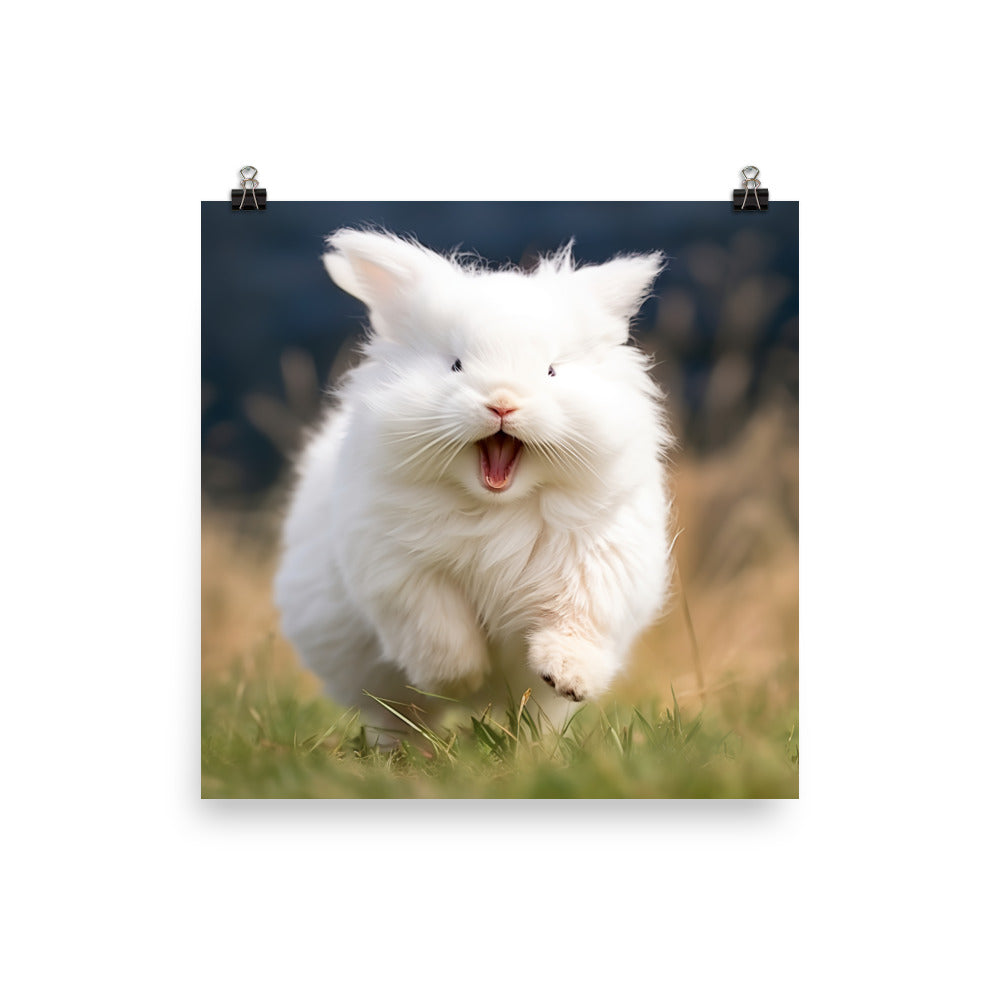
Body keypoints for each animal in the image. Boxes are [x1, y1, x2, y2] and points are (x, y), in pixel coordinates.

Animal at [274, 229, 673, 741]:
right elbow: (439, 630)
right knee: (399, 715)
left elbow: (575, 622)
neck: (497, 505)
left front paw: (567, 676)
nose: (502, 403)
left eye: (551, 370)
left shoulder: (595, 566)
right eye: (456, 365)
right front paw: (460, 680)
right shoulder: (403, 573)